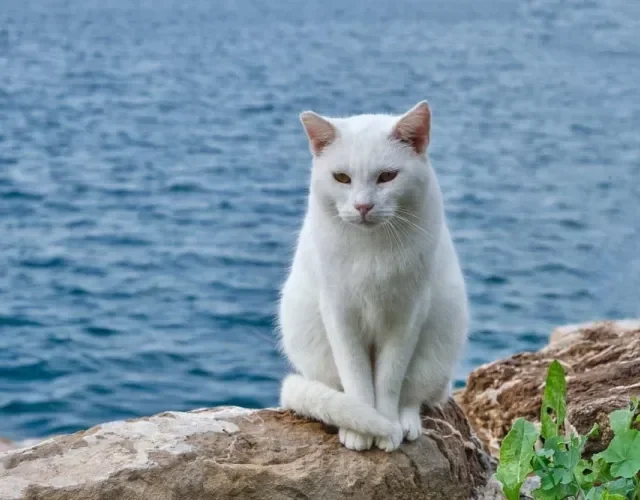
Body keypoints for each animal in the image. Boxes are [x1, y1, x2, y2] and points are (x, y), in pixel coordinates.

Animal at [278, 101, 468, 454]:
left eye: (387, 176)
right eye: (341, 178)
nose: (363, 206)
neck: (372, 249)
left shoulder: (406, 316)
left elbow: (389, 380)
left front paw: (387, 425)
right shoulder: (340, 314)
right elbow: (357, 379)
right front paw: (362, 429)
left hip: (436, 352)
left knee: (413, 396)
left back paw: (405, 423)